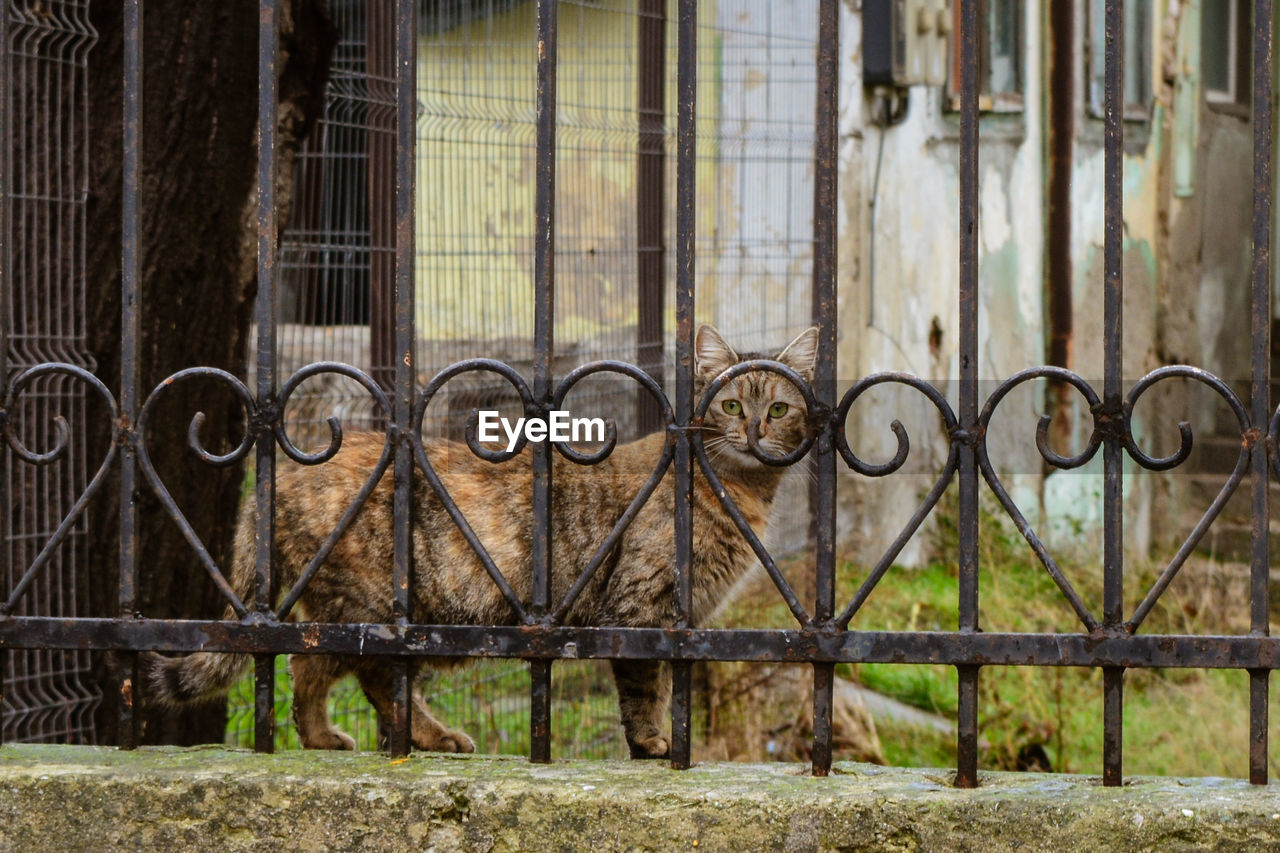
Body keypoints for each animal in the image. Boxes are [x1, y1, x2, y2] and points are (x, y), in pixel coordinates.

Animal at [145, 322, 814, 753]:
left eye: (779, 410)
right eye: (731, 405)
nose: (755, 431)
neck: (741, 493)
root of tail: (281, 475)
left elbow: (670, 682)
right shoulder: (640, 608)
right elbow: (646, 688)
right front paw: (654, 744)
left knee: (309, 670)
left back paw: (322, 738)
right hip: (374, 610)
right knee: (366, 675)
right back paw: (429, 735)